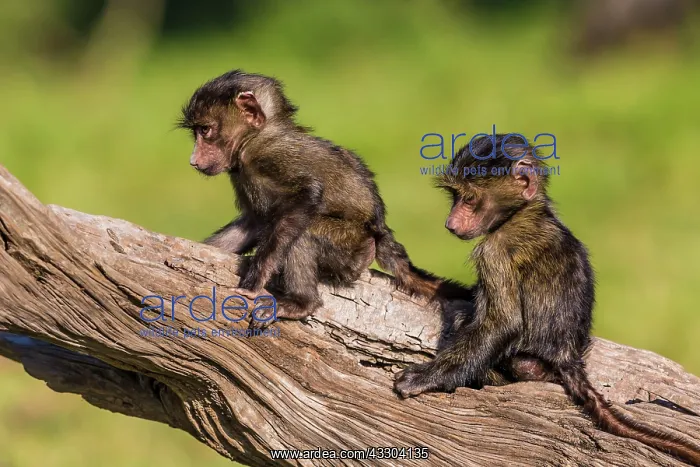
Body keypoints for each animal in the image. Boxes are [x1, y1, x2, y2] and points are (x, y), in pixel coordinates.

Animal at [178, 70, 465, 328]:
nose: (193, 161)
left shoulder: (271, 155)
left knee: (304, 232)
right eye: (197, 132)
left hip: (351, 249)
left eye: (205, 130)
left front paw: (254, 281)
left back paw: (302, 303)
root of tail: (379, 231)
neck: (257, 137)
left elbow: (306, 195)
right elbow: (254, 223)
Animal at [394, 135, 700, 465]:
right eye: (454, 196)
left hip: (529, 367)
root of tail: (567, 359)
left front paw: (424, 378)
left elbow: (502, 324)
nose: (450, 224)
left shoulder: (493, 252)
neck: (526, 212)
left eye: (469, 198)